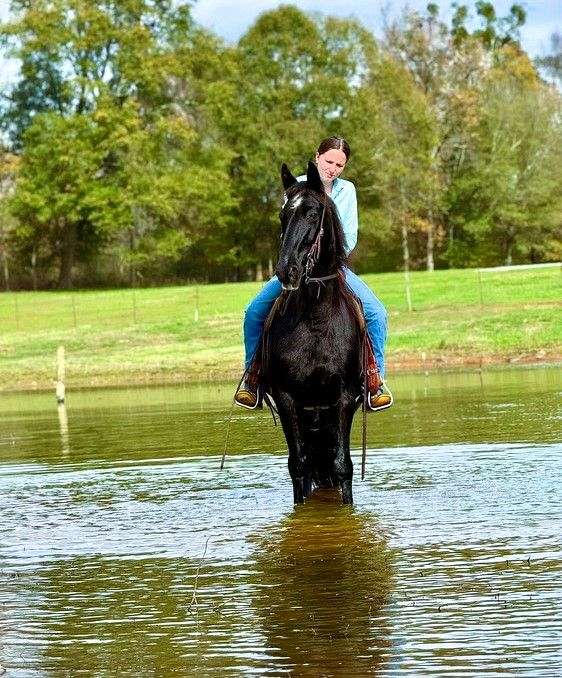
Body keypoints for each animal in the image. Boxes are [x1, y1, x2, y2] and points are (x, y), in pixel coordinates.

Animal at [262, 162, 364, 508]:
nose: (286, 270)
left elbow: (342, 465)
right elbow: (299, 467)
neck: (316, 321)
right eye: (282, 215)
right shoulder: (286, 399)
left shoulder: (344, 398)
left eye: (311, 213)